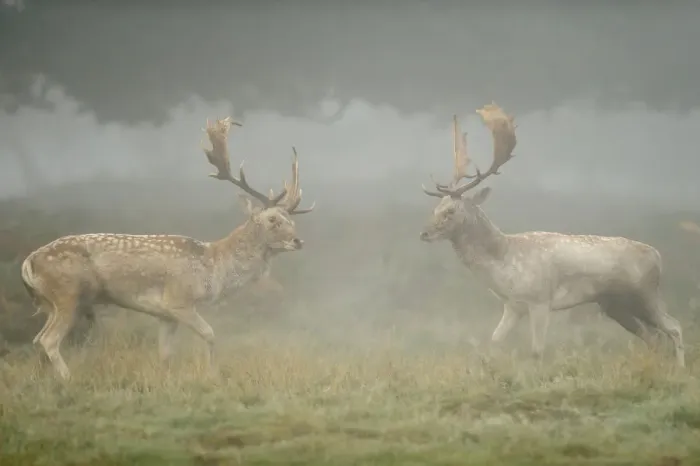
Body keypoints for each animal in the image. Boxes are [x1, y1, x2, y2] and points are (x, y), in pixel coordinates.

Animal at [20, 116, 315, 380]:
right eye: (273, 220)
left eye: (291, 220)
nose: (298, 241)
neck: (213, 268)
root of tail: (28, 263)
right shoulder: (179, 300)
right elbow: (210, 334)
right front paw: (212, 375)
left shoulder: (164, 314)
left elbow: (165, 354)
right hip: (68, 295)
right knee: (48, 340)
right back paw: (67, 379)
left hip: (50, 303)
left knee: (36, 339)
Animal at [419, 102, 685, 367]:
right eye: (436, 208)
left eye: (451, 211)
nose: (424, 233)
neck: (503, 263)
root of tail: (658, 256)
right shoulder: (513, 306)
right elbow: (494, 341)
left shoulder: (540, 300)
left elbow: (537, 350)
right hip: (615, 304)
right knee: (654, 337)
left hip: (645, 294)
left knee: (674, 327)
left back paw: (679, 369)